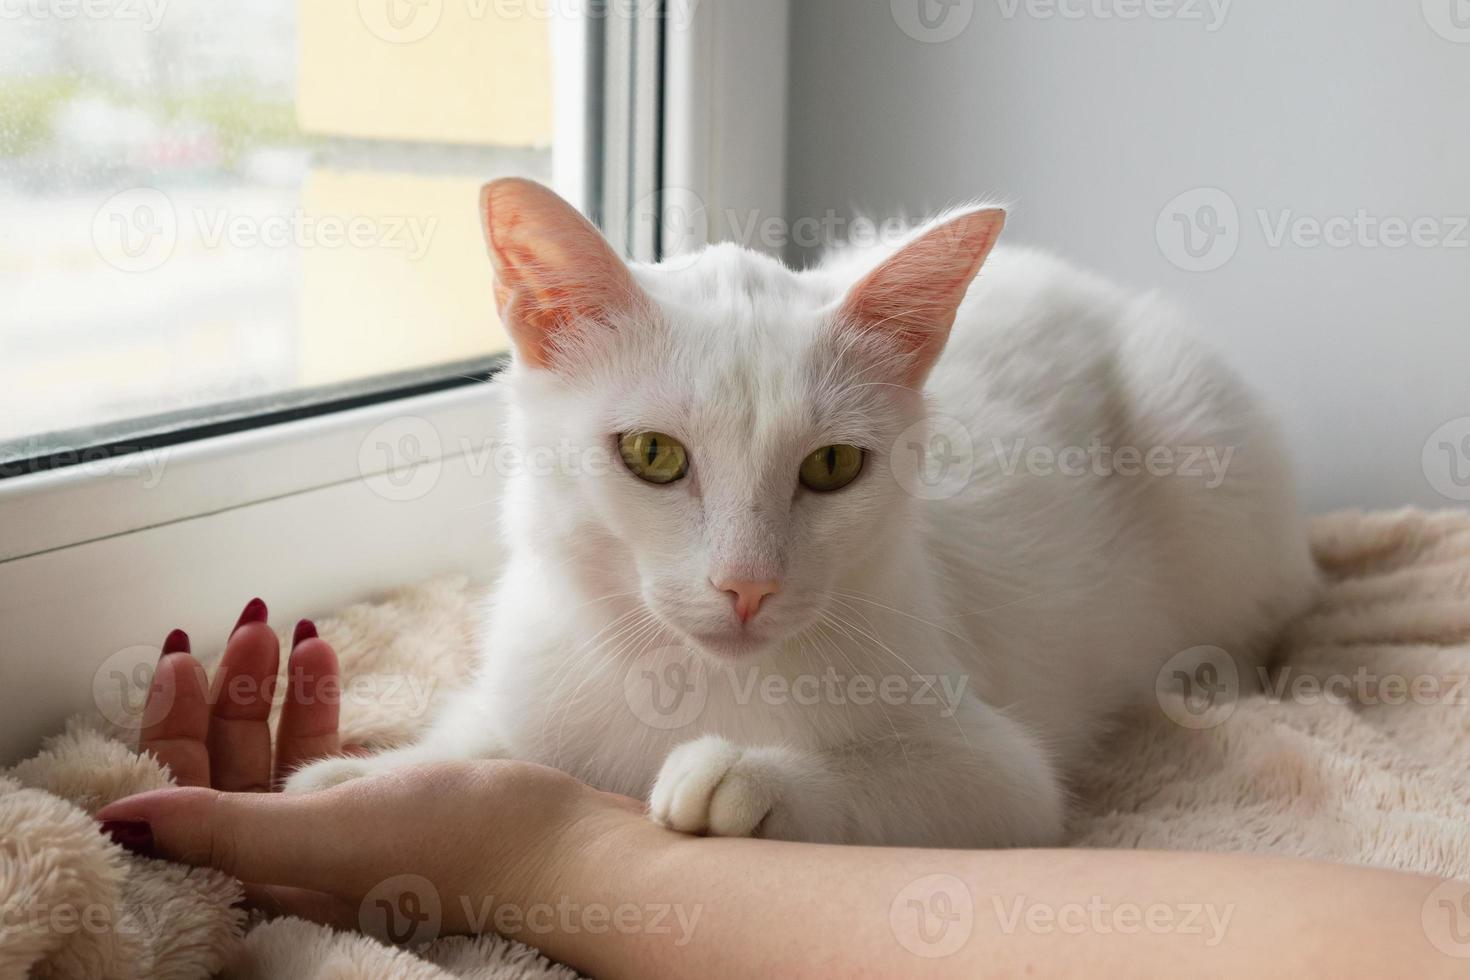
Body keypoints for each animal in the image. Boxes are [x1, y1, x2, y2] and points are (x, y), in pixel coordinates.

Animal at [280, 178, 1317, 852]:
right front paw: (368, 781)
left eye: (832, 466)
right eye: (652, 455)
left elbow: (923, 783)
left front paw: (750, 777)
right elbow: (483, 739)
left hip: (1202, 454)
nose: (748, 586)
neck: (684, 678)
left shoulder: (1002, 777)